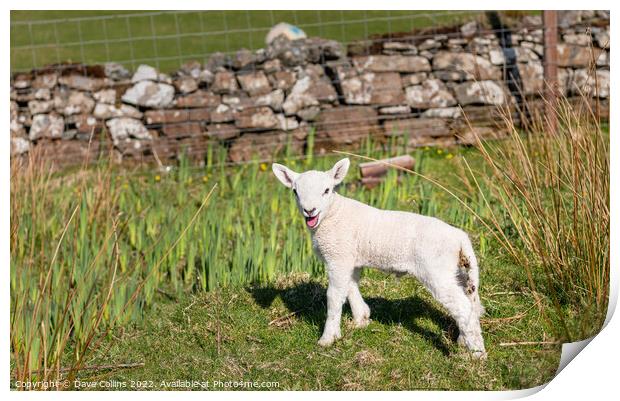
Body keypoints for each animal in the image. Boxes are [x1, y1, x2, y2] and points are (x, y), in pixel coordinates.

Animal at [274, 158, 486, 358]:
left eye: (327, 190)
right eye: (295, 192)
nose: (309, 210)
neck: (332, 215)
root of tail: (460, 237)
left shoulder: (338, 257)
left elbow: (334, 296)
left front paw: (328, 338)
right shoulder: (350, 258)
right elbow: (351, 286)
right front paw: (361, 319)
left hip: (436, 270)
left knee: (462, 307)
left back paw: (477, 354)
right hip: (456, 270)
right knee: (470, 302)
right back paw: (463, 340)